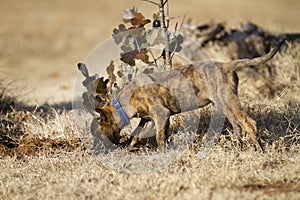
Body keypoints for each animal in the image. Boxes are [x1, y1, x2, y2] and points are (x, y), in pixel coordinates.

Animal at [79, 40, 282, 150]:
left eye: (97, 134)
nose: (97, 150)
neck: (122, 104)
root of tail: (227, 65)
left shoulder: (161, 114)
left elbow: (160, 137)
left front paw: (161, 153)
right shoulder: (148, 119)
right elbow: (136, 135)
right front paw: (130, 148)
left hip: (228, 101)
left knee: (250, 124)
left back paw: (259, 150)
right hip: (225, 104)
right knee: (238, 126)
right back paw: (239, 147)